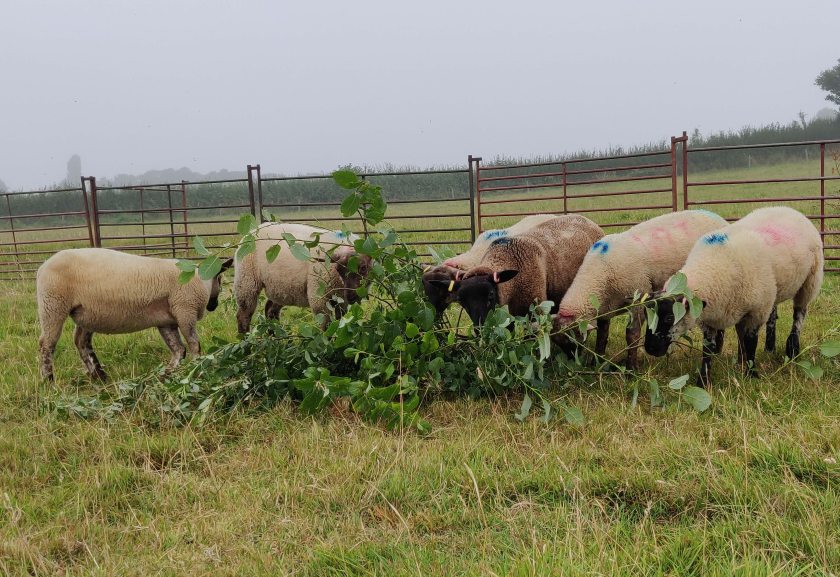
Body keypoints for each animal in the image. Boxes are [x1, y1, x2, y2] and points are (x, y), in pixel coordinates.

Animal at [36, 246, 230, 378]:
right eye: (220, 278)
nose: (213, 306)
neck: (200, 280)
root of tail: (42, 267)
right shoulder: (185, 311)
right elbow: (194, 345)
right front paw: (196, 370)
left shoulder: (167, 321)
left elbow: (178, 349)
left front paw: (166, 374)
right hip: (52, 305)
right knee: (47, 344)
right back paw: (48, 380)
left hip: (87, 313)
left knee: (81, 342)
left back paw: (99, 376)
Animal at [235, 224, 370, 336]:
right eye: (339, 269)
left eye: (364, 268)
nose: (352, 296)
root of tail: (251, 232)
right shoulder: (318, 297)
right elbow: (326, 326)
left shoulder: (341, 301)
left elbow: (340, 322)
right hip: (247, 280)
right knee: (244, 314)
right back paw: (245, 342)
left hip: (281, 287)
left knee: (270, 310)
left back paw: (275, 337)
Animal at [552, 209, 728, 366]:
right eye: (558, 342)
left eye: (572, 342)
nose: (571, 365)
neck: (599, 272)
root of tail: (716, 216)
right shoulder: (604, 309)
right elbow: (602, 334)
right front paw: (597, 361)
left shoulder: (638, 298)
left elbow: (632, 334)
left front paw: (631, 368)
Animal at [648, 205, 824, 384]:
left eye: (669, 317)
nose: (650, 349)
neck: (713, 267)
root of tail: (786, 208)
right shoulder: (713, 317)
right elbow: (708, 349)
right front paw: (704, 381)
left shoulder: (756, 312)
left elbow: (750, 342)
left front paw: (752, 374)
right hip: (771, 291)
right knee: (772, 317)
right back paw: (769, 348)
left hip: (809, 281)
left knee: (799, 315)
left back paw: (792, 350)